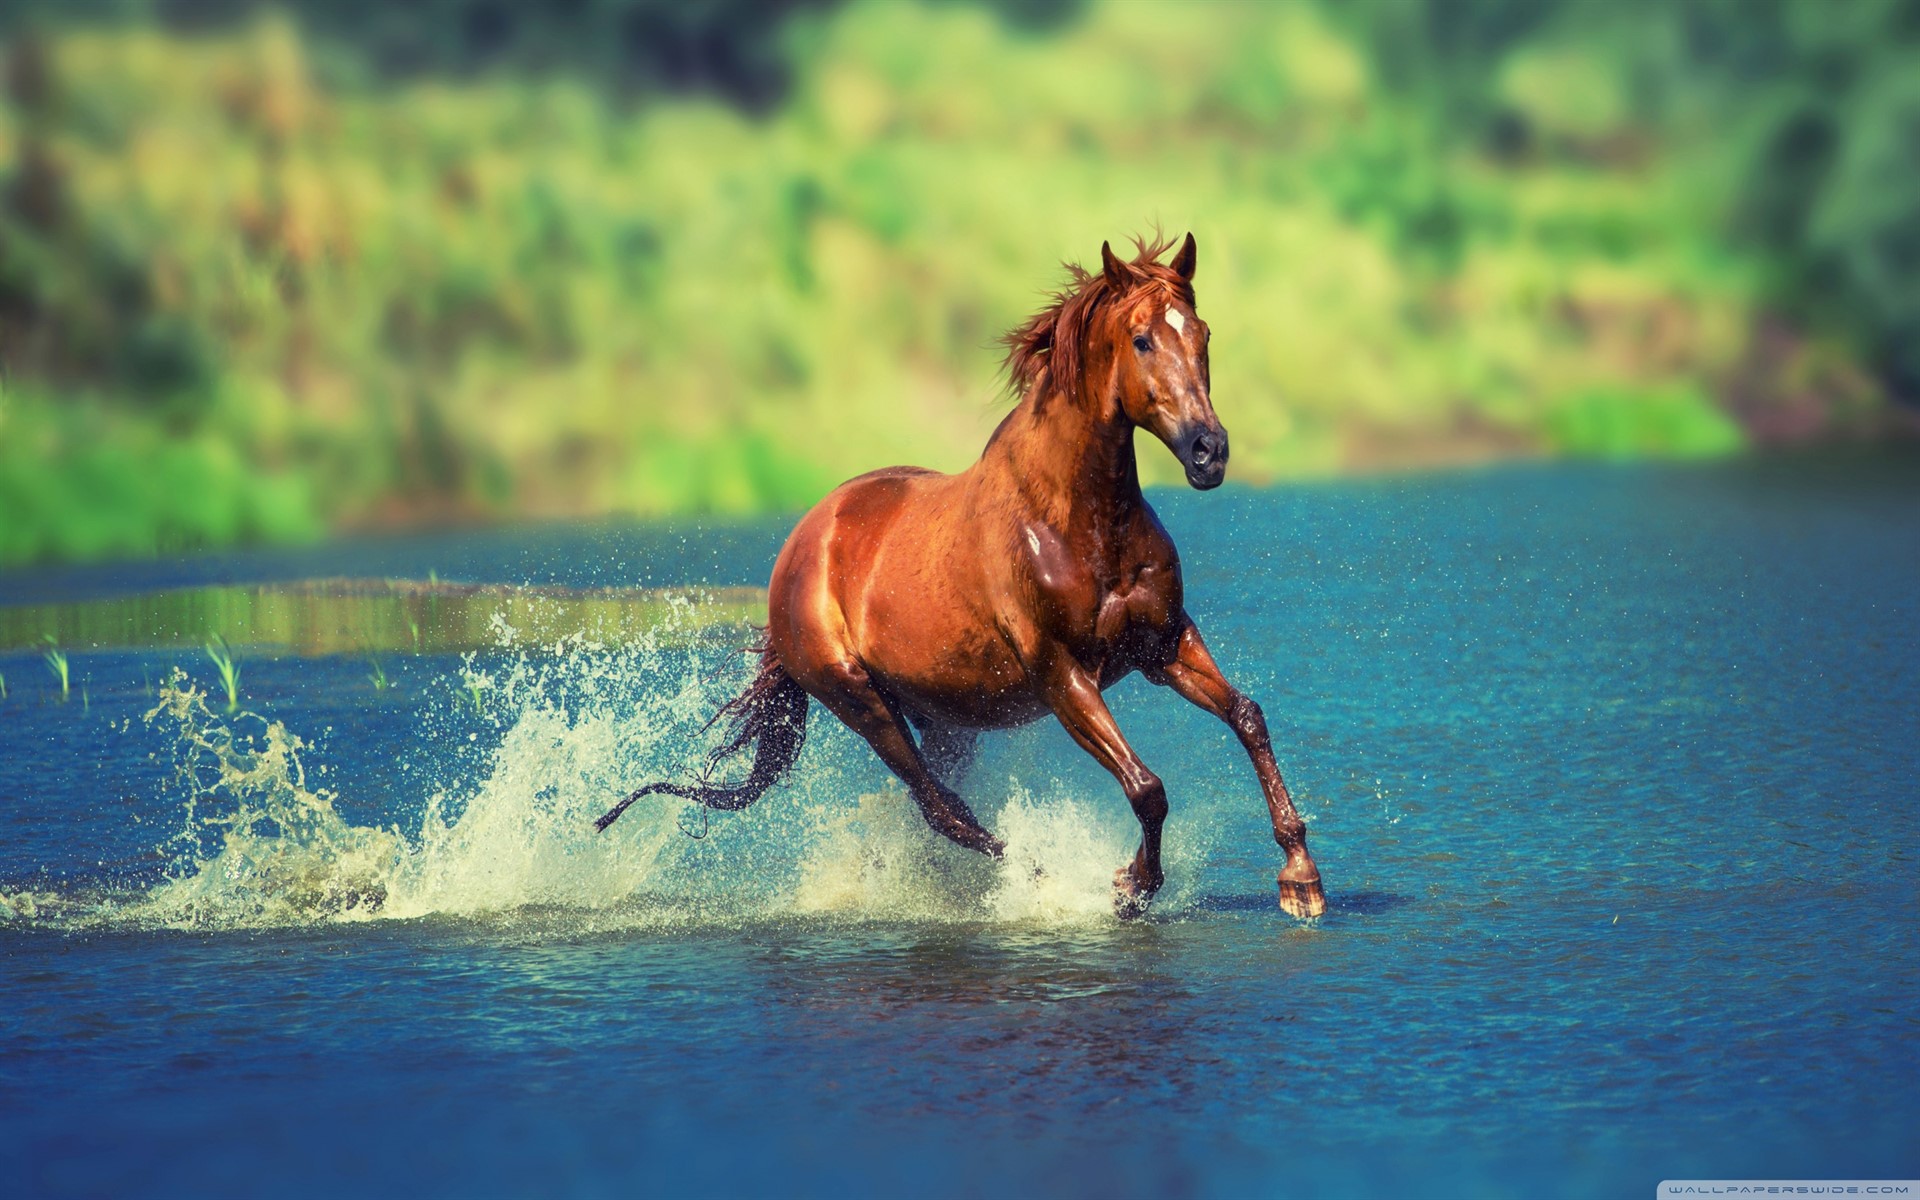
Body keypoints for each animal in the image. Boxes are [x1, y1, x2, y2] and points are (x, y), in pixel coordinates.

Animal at [606, 229, 1328, 913]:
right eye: (1142, 339)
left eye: (1202, 334)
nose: (1210, 451)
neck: (1077, 520)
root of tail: (800, 547)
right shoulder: (1063, 674)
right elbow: (1146, 787)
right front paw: (1131, 886)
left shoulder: (1164, 643)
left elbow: (1247, 716)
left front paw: (1300, 878)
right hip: (860, 700)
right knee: (941, 807)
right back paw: (1037, 879)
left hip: (946, 715)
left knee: (934, 806)